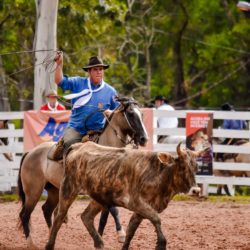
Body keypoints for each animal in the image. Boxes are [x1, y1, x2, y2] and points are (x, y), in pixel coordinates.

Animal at [17, 96, 148, 247]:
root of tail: (30, 153)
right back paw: (31, 243)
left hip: (53, 190)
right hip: (33, 191)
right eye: (131, 114)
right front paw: (119, 234)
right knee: (25, 215)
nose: (144, 139)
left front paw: (105, 235)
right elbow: (113, 210)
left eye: (142, 114)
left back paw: (51, 236)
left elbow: (105, 216)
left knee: (47, 210)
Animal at [46, 142, 208, 249]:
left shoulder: (141, 210)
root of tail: (78, 146)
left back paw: (99, 243)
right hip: (68, 189)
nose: (195, 190)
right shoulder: (136, 203)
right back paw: (49, 245)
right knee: (59, 216)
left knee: (86, 216)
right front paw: (161, 243)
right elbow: (156, 219)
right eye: (182, 166)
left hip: (99, 198)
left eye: (196, 167)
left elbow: (131, 230)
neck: (157, 174)